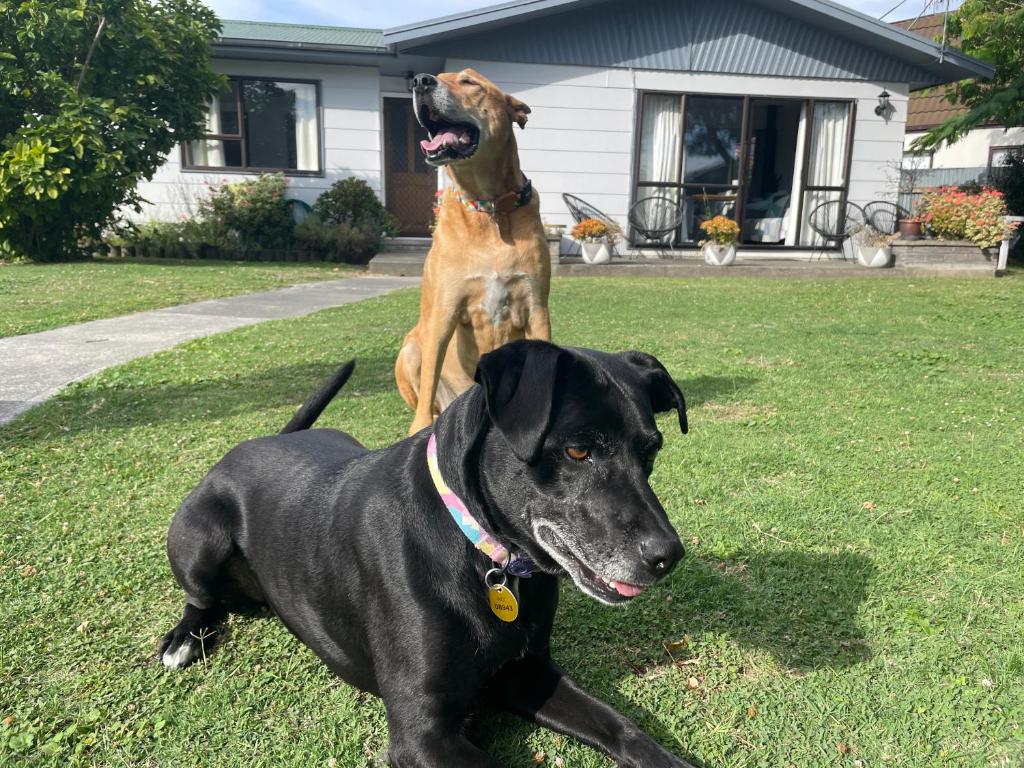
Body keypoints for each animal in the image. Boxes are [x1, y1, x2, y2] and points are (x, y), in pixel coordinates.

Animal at [159, 342, 700, 768]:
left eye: (651, 451)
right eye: (577, 451)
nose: (668, 556)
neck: (487, 558)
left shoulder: (529, 673)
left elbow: (622, 727)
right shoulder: (423, 735)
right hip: (200, 536)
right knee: (199, 598)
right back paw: (183, 640)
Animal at [393, 67, 552, 434]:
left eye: (469, 82)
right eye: (438, 76)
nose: (420, 81)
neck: (489, 209)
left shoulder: (537, 307)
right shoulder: (445, 310)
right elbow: (429, 379)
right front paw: (420, 428)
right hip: (409, 349)